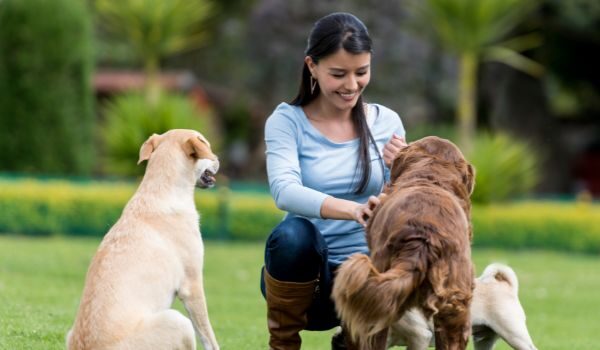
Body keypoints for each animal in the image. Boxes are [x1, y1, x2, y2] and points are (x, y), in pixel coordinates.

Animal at [67, 130, 220, 348]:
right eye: (206, 144)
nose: (218, 159)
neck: (160, 189)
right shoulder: (192, 285)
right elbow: (209, 336)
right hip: (179, 321)